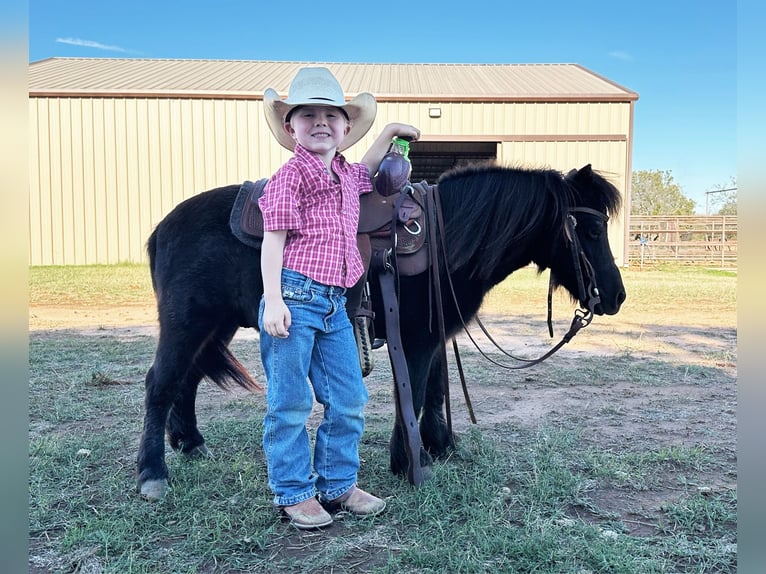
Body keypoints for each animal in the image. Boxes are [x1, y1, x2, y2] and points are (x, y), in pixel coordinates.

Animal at [137, 162, 626, 500]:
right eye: (592, 228)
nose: (615, 297)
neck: (447, 237)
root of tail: (162, 227)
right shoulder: (415, 340)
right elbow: (415, 391)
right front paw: (412, 458)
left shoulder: (435, 335)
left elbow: (435, 391)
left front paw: (440, 446)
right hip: (187, 323)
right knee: (161, 383)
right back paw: (152, 472)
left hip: (213, 326)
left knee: (187, 379)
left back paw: (190, 443)